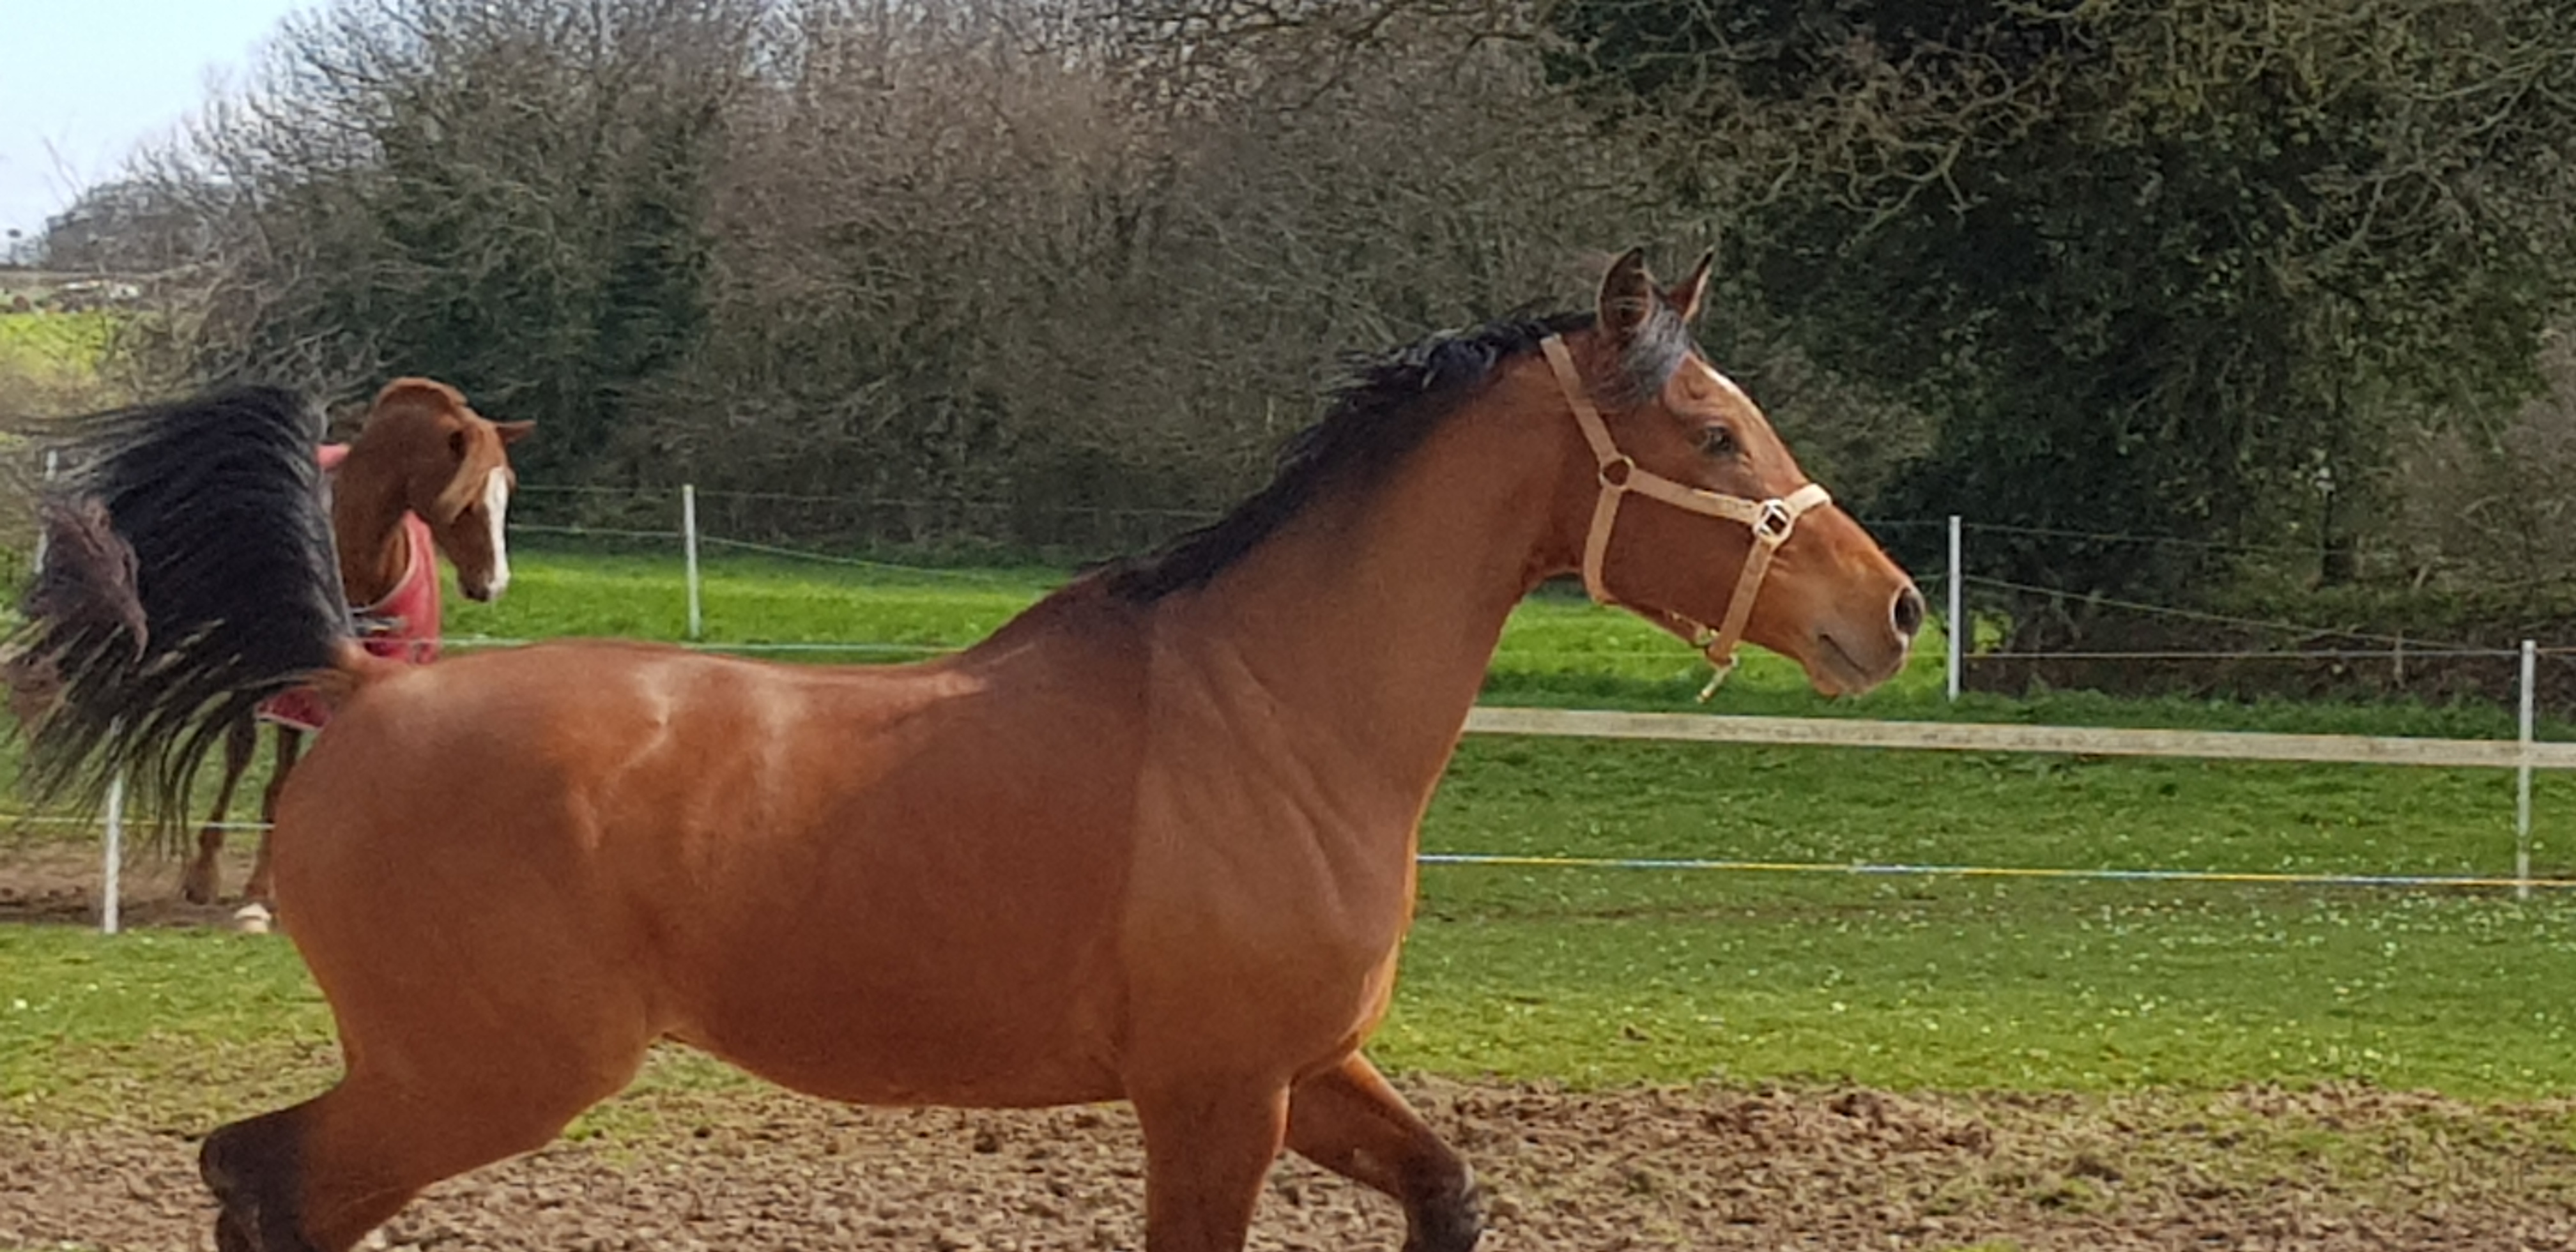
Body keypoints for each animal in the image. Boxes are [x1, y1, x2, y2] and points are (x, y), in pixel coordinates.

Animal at [177, 377, 530, 906]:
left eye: (506, 487)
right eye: (466, 495)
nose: (495, 583)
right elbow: (259, 766)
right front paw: (243, 883)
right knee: (243, 753)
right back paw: (208, 871)